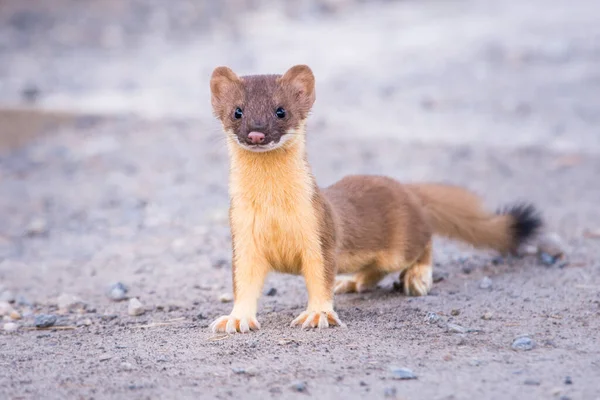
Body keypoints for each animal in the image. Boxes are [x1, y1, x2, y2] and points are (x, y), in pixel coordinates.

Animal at [209, 65, 540, 334]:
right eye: (238, 111)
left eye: (281, 110)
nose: (256, 134)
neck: (273, 209)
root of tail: (406, 188)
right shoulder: (243, 236)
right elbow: (244, 282)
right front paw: (235, 319)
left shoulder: (319, 230)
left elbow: (320, 277)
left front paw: (317, 314)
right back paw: (352, 282)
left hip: (401, 243)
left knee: (424, 243)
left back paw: (417, 278)